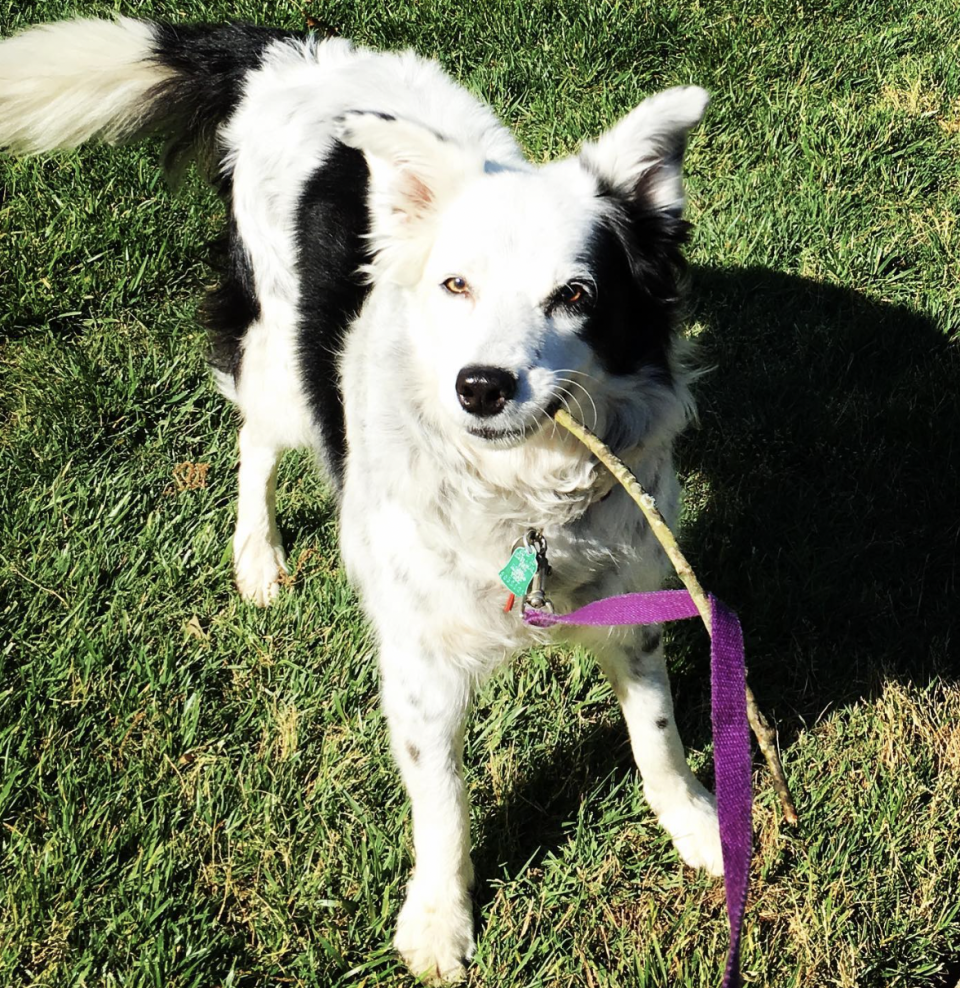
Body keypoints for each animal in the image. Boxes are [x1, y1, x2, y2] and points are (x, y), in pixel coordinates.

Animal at [0, 19, 720, 984]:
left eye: (576, 295)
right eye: (455, 285)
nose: (480, 387)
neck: (521, 493)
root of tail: (282, 50)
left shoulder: (633, 596)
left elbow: (657, 732)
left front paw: (700, 827)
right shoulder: (420, 664)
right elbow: (442, 804)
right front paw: (439, 922)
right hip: (281, 362)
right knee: (254, 442)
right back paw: (258, 557)